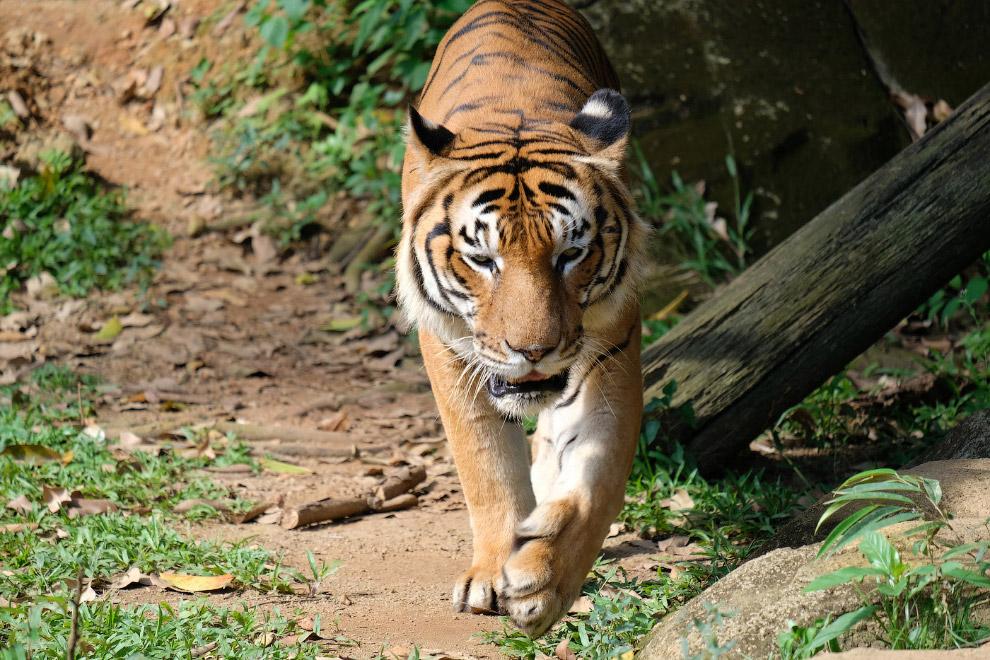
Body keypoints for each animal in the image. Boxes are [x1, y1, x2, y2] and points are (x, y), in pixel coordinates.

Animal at [396, 0, 652, 640]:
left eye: (570, 254)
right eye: (484, 259)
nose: (533, 350)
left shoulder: (613, 350)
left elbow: (597, 478)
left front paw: (543, 584)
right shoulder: (449, 349)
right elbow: (486, 465)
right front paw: (491, 573)